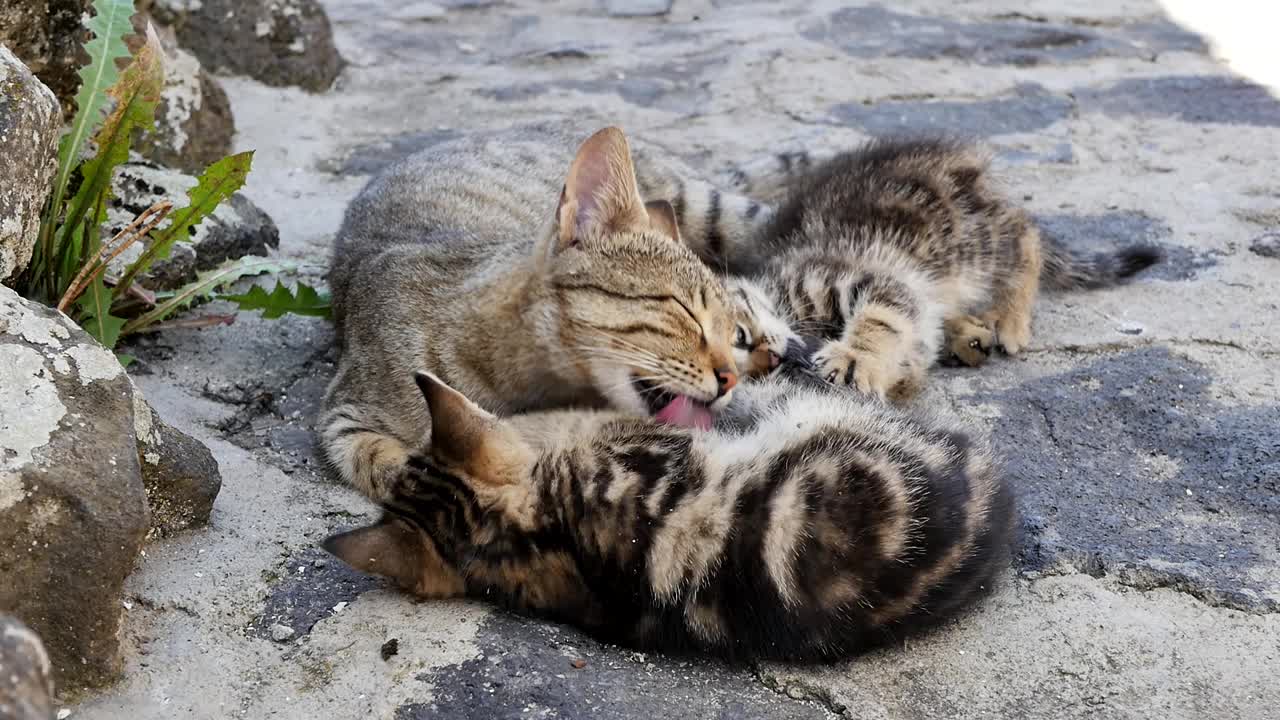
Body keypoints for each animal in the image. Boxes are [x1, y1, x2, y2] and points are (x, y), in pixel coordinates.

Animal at [721, 135, 1162, 397]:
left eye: (739, 335)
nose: (777, 360)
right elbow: (909, 353)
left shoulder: (853, 275)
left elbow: (882, 316)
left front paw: (856, 356)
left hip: (965, 242)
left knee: (1025, 234)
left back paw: (1010, 315)